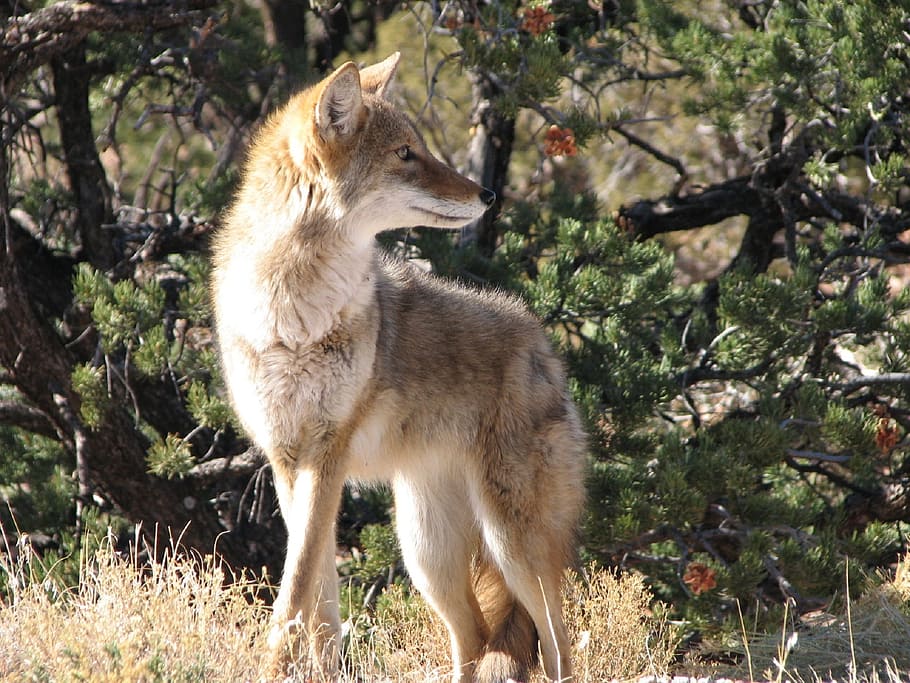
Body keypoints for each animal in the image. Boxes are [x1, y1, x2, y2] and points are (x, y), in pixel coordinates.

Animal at [210, 52, 586, 683]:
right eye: (405, 154)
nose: (488, 194)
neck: (294, 316)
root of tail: (543, 345)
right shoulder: (289, 460)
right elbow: (316, 599)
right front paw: (318, 667)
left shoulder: (328, 452)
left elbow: (294, 591)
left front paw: (274, 664)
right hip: (426, 553)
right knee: (475, 635)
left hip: (512, 544)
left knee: (557, 642)